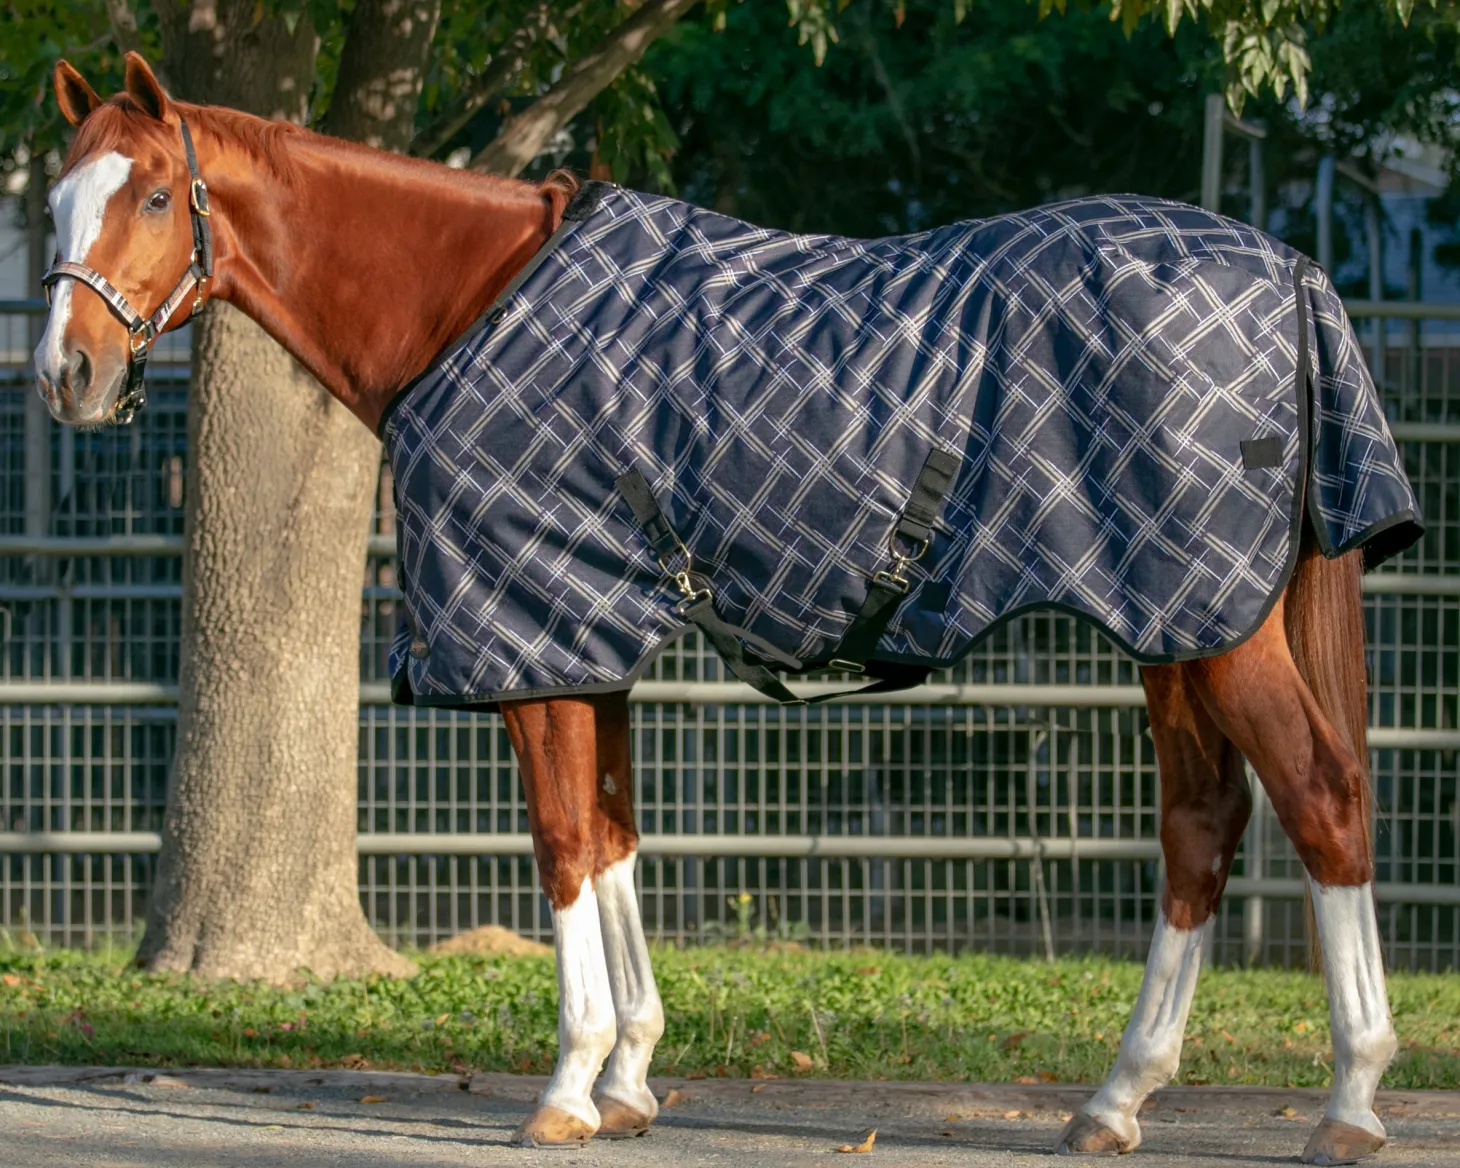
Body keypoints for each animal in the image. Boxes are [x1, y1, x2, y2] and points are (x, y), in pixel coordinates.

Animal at [36, 54, 1410, 1164]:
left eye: (153, 196)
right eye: (51, 199)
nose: (67, 375)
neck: (464, 299)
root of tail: (1289, 271)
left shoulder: (531, 637)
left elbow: (560, 845)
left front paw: (565, 1086)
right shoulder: (588, 641)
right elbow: (612, 837)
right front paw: (630, 1077)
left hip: (1212, 626)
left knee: (1321, 796)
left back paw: (1347, 1102)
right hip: (1177, 621)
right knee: (1199, 826)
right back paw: (1115, 1100)